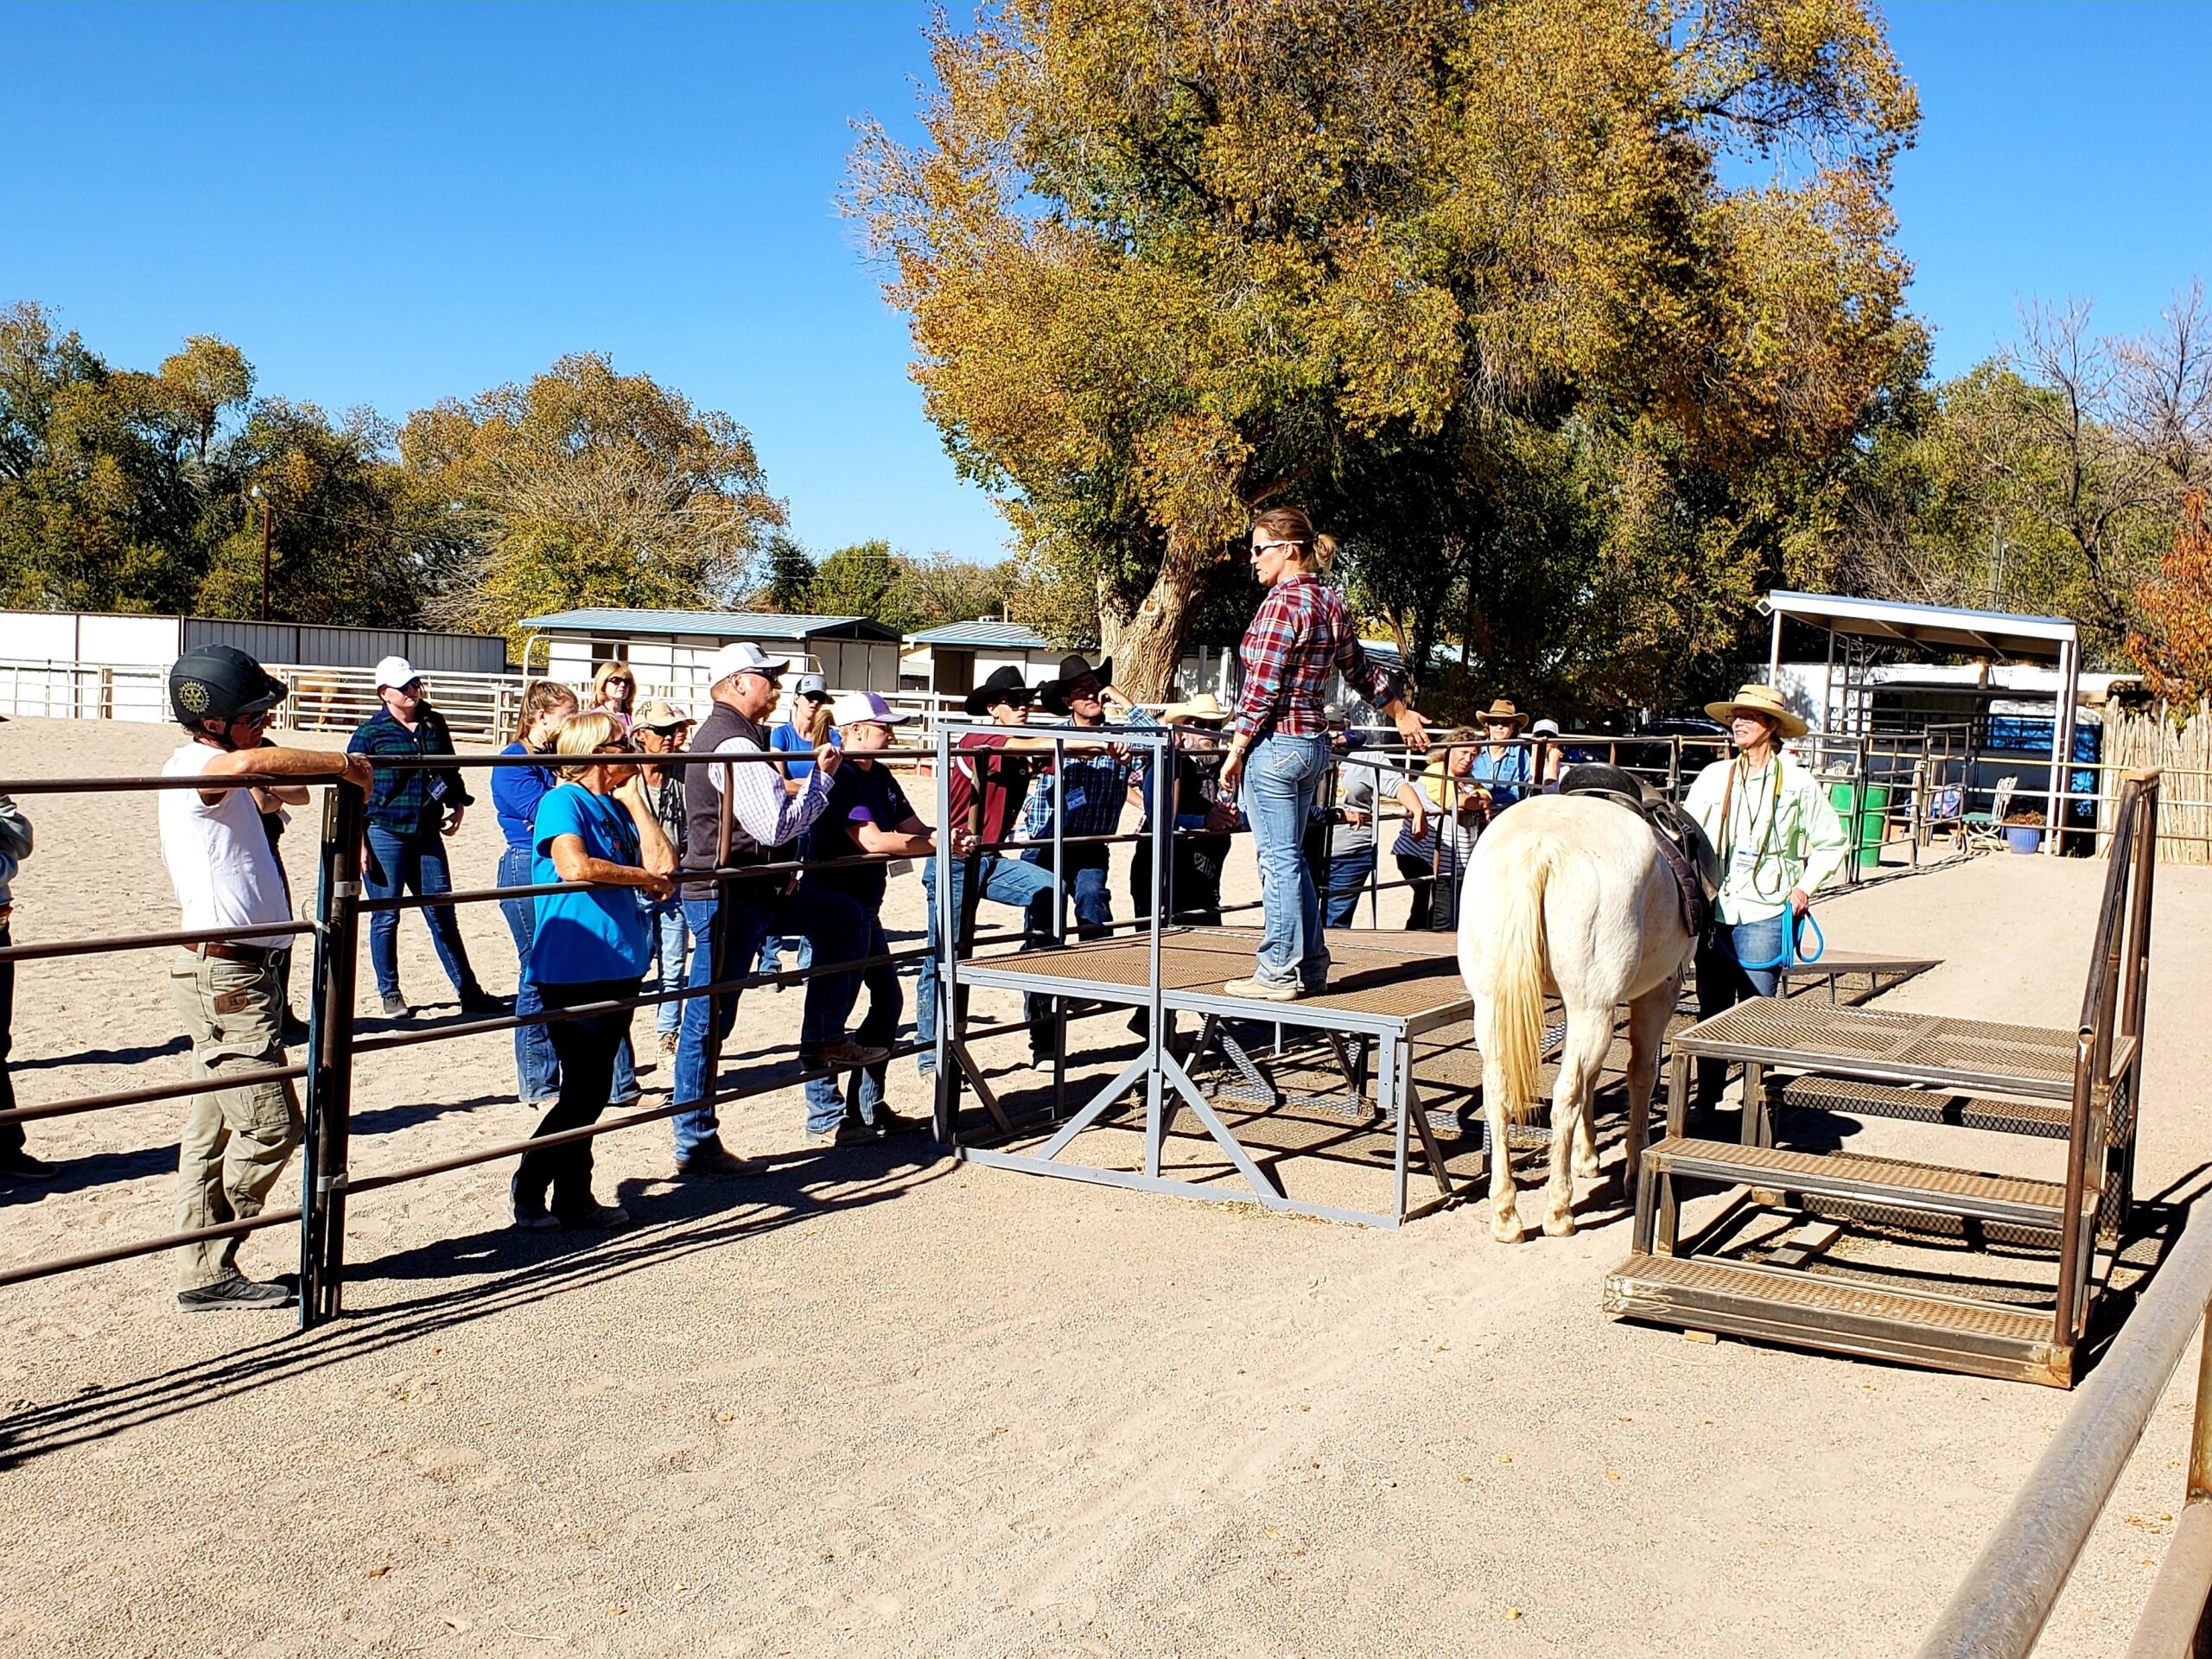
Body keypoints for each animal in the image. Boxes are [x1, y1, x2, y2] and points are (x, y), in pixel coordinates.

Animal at [1451, 796, 1689, 1247]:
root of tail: (1540, 847)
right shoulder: (1656, 993)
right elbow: (1640, 1073)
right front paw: (1632, 1166)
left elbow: (1595, 1079)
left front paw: (1588, 1154)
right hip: (1593, 1007)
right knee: (1567, 1093)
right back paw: (1559, 1210)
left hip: (1493, 1006)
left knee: (1499, 1094)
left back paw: (1505, 1213)